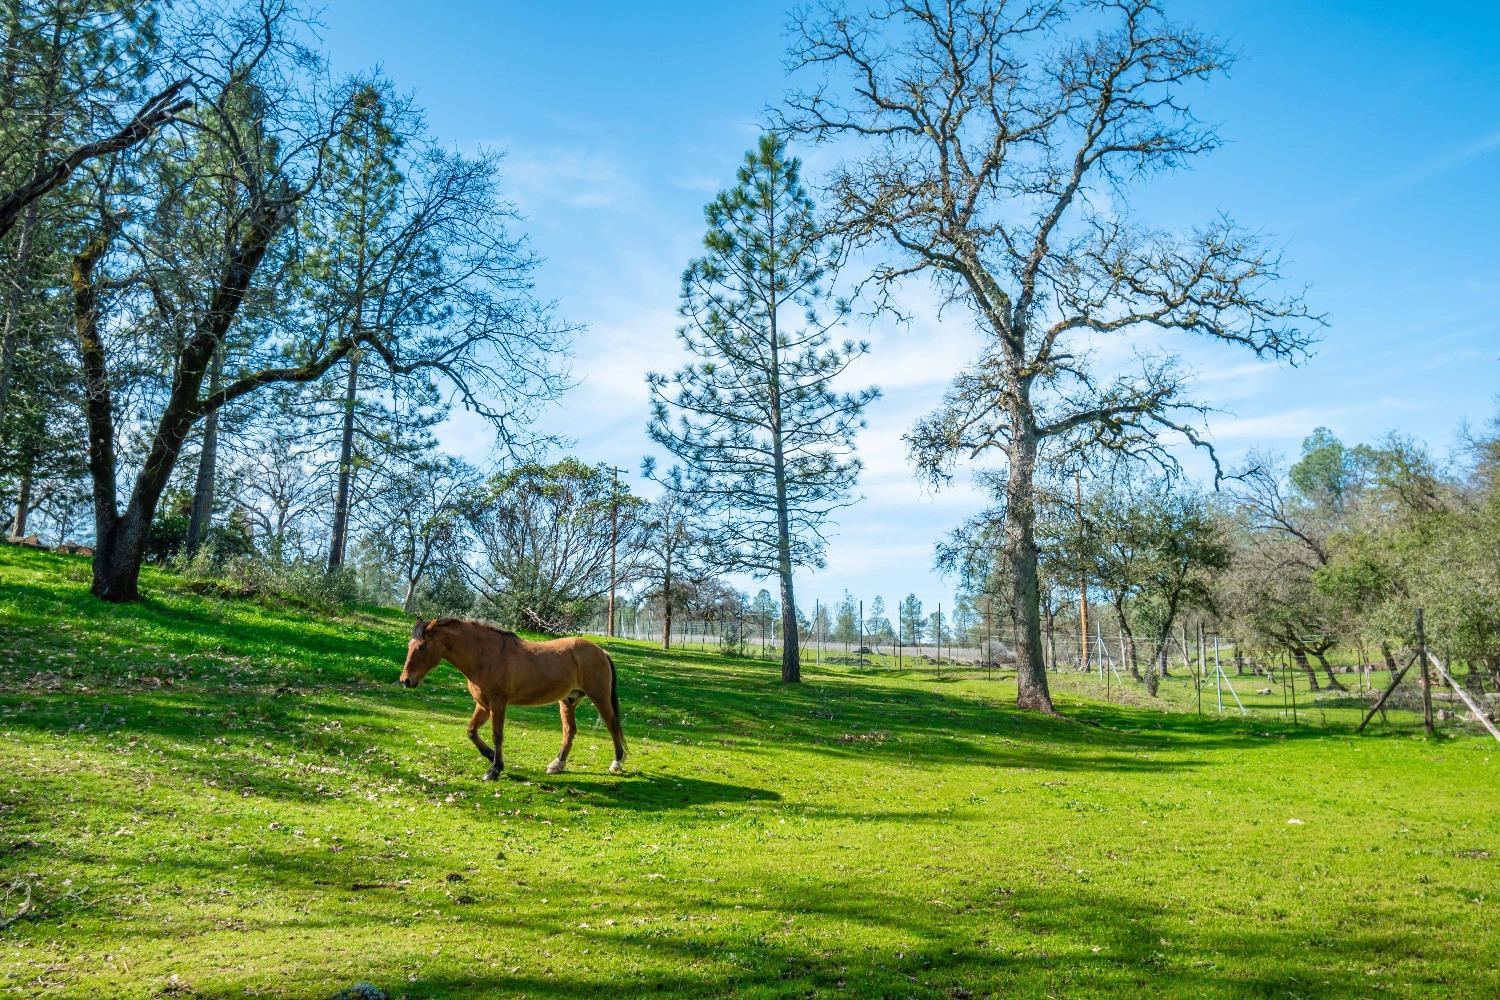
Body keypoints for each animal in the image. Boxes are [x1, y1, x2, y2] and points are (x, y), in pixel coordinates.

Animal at [396, 617, 624, 779]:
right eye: (409, 645)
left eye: (422, 647)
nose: (406, 680)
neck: (485, 656)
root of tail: (600, 651)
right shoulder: (483, 705)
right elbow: (471, 731)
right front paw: (490, 756)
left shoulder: (498, 704)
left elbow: (498, 735)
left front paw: (494, 770)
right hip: (568, 701)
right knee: (569, 731)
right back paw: (557, 764)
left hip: (599, 697)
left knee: (612, 725)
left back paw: (616, 763)